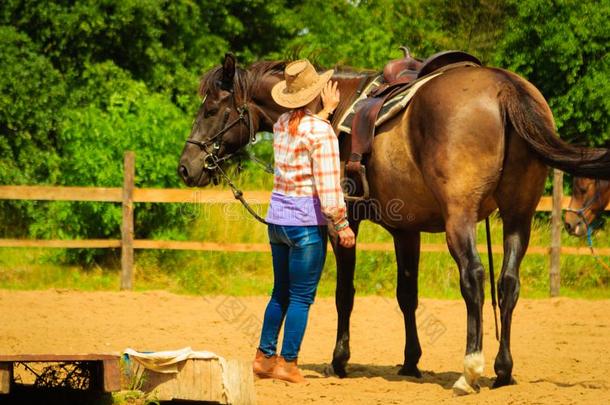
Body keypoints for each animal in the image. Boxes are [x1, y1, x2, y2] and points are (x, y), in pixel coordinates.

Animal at [178, 53, 608, 394]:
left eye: (210, 110)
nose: (186, 166)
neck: (333, 108)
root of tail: (505, 88)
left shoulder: (345, 220)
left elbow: (345, 294)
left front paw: (340, 360)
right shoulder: (407, 230)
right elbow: (407, 295)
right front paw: (411, 361)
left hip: (461, 219)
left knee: (473, 278)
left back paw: (470, 369)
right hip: (518, 214)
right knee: (508, 284)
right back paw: (502, 370)